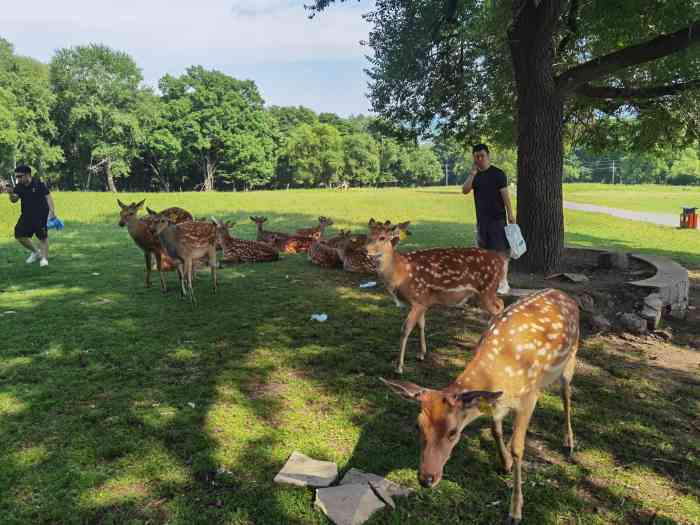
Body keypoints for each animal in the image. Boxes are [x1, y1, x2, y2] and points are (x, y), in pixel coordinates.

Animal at [366, 221, 504, 372]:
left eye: (383, 237)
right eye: (368, 235)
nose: (365, 250)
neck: (401, 273)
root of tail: (502, 261)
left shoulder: (418, 298)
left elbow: (405, 329)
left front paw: (399, 367)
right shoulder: (423, 302)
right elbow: (421, 324)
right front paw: (422, 354)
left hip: (486, 289)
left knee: (497, 309)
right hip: (485, 293)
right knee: (501, 303)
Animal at [382, 286, 580, 524]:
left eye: (453, 432)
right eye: (418, 426)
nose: (426, 479)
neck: (502, 373)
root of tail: (564, 294)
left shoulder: (529, 396)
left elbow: (518, 448)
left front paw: (515, 511)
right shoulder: (497, 402)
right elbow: (495, 430)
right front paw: (505, 465)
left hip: (571, 358)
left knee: (566, 396)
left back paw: (569, 443)